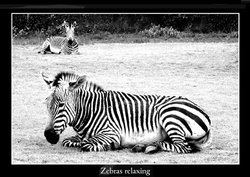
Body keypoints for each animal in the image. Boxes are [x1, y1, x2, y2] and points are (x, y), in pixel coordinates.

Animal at [42, 71, 211, 153]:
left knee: (183, 147)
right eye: (47, 105)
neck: (91, 110)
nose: (48, 136)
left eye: (61, 105)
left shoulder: (111, 133)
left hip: (169, 116)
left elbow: (86, 145)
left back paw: (146, 146)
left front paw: (110, 146)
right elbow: (68, 141)